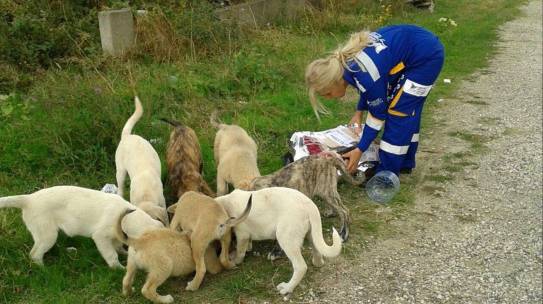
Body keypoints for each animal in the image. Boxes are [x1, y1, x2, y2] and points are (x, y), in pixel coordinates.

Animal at [0, 185, 164, 268]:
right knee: (34, 254)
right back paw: (44, 270)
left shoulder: (116, 236)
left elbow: (118, 246)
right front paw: (119, 269)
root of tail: (28, 199)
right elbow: (111, 256)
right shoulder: (100, 237)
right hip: (47, 234)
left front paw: (124, 253)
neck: (128, 217)